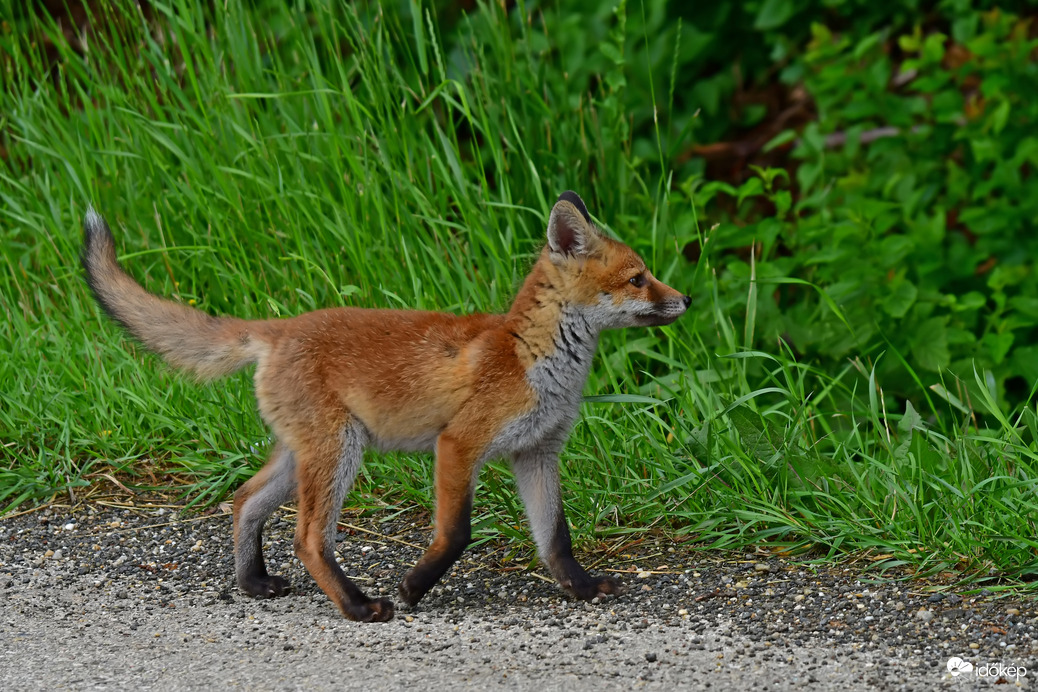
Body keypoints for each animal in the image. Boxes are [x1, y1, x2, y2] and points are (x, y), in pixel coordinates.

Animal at [83, 191, 689, 626]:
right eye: (638, 278)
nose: (686, 299)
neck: (532, 360)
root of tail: (278, 329)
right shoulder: (459, 444)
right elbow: (456, 533)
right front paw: (414, 586)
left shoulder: (537, 453)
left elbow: (556, 539)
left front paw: (581, 587)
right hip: (338, 453)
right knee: (308, 539)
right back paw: (358, 606)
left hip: (304, 456)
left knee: (244, 500)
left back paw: (253, 583)